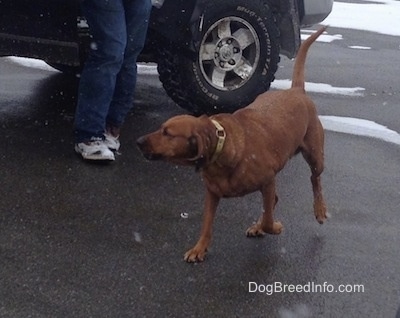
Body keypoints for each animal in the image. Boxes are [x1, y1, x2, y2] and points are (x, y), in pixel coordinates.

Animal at [136, 26, 326, 260]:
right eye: (161, 128)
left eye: (167, 133)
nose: (139, 141)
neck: (221, 144)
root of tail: (296, 90)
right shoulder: (212, 193)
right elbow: (207, 224)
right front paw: (199, 248)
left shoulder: (268, 180)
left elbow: (270, 219)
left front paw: (274, 227)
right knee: (274, 201)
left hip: (315, 155)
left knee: (314, 180)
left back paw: (319, 210)